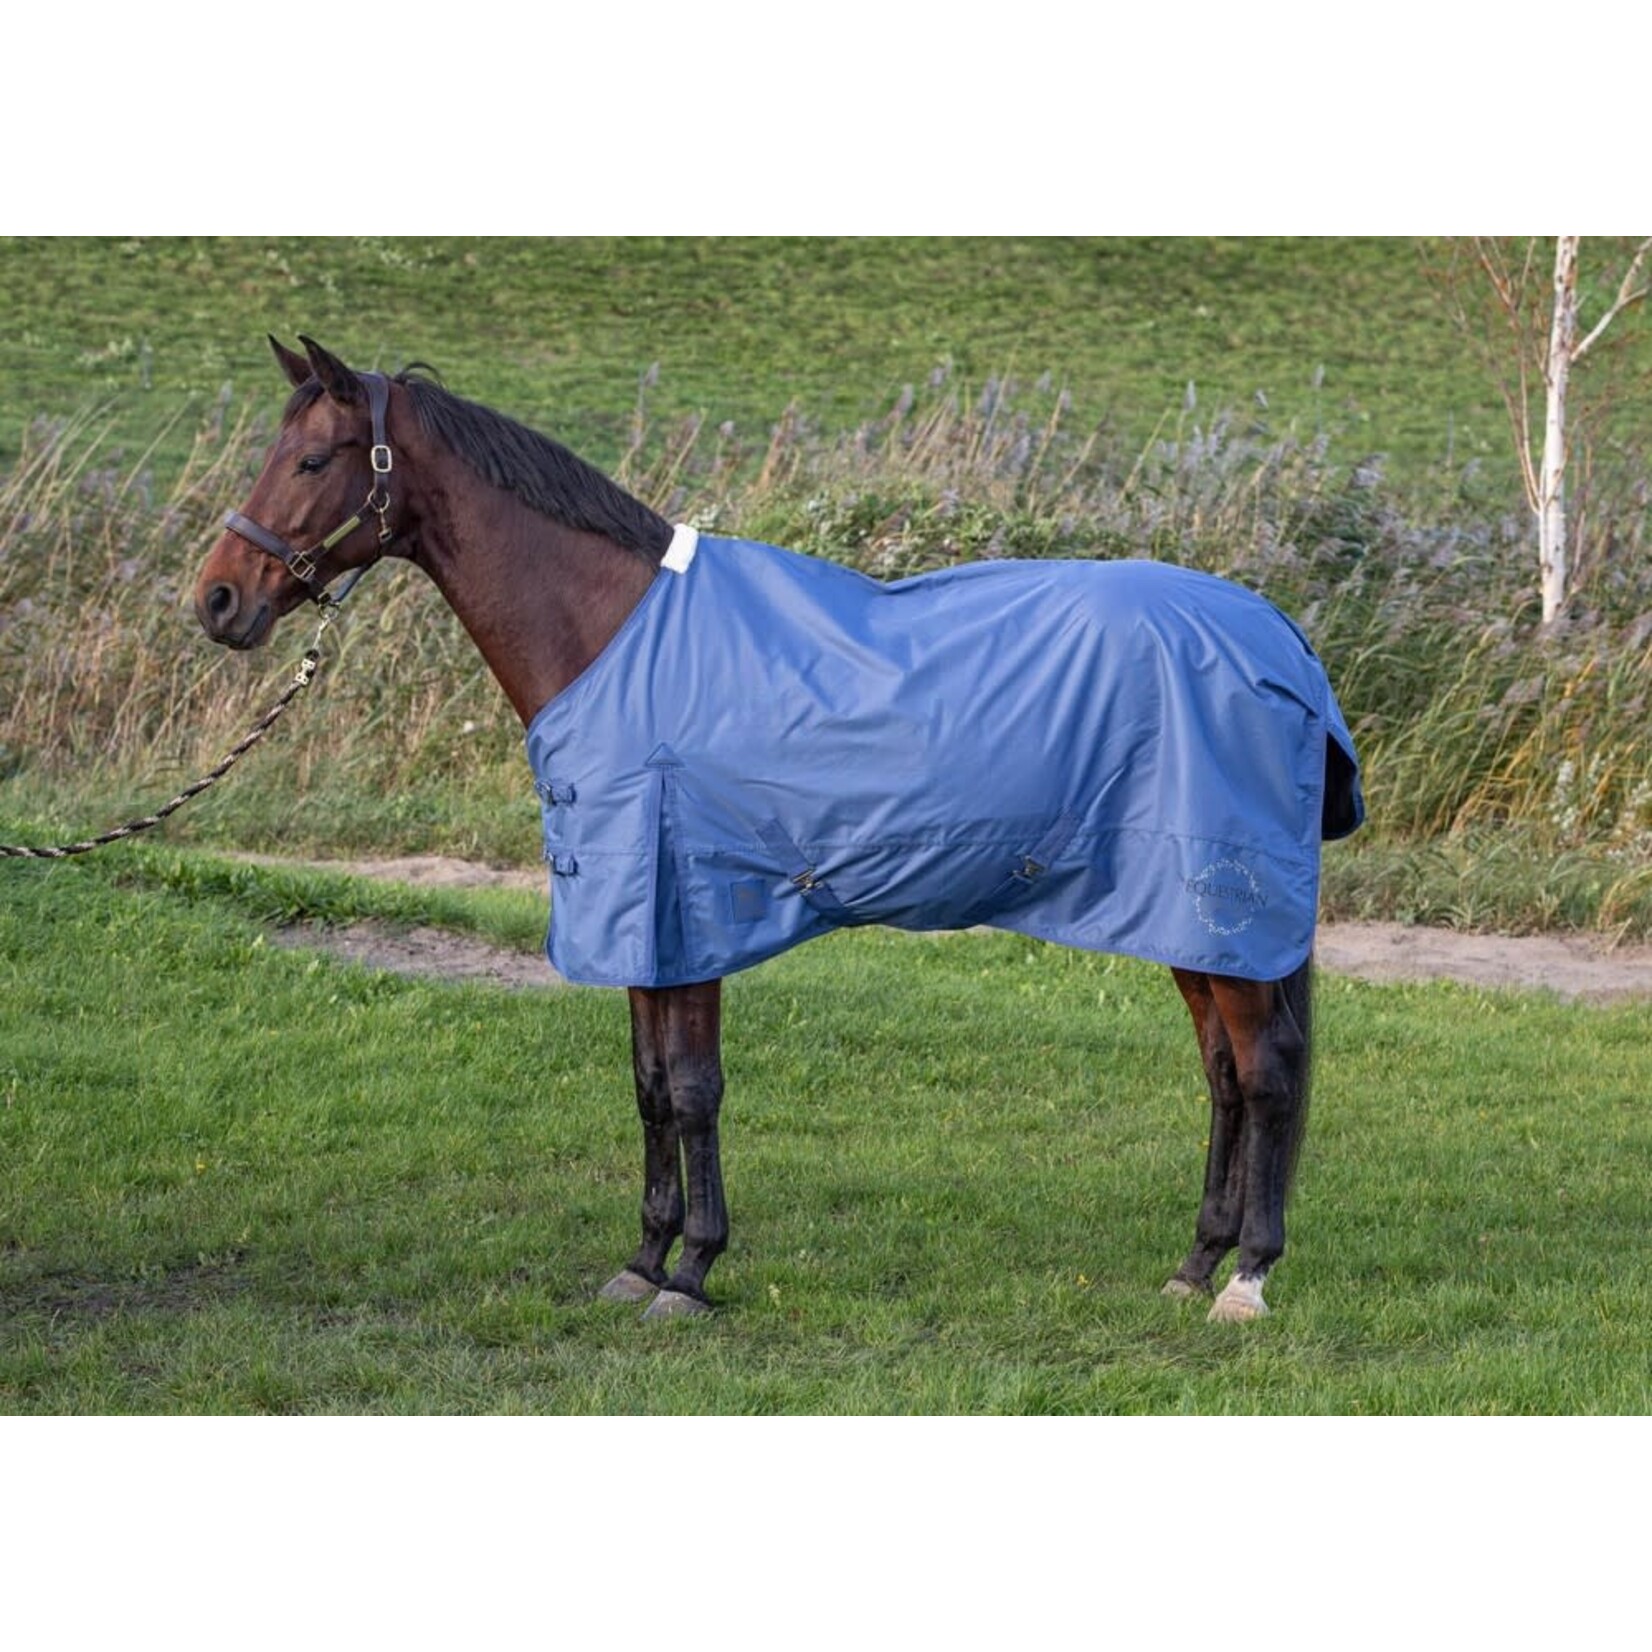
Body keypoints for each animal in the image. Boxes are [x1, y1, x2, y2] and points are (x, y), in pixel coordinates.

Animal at [194, 336, 1364, 1324]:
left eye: (313, 459)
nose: (216, 600)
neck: (615, 634)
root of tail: (1279, 637)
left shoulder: (690, 904)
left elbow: (693, 1089)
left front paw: (693, 1273)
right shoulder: (641, 921)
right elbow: (648, 1086)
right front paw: (643, 1258)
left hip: (1221, 906)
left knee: (1264, 1073)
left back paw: (1246, 1281)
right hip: (1186, 921)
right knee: (1223, 1075)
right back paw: (1194, 1263)